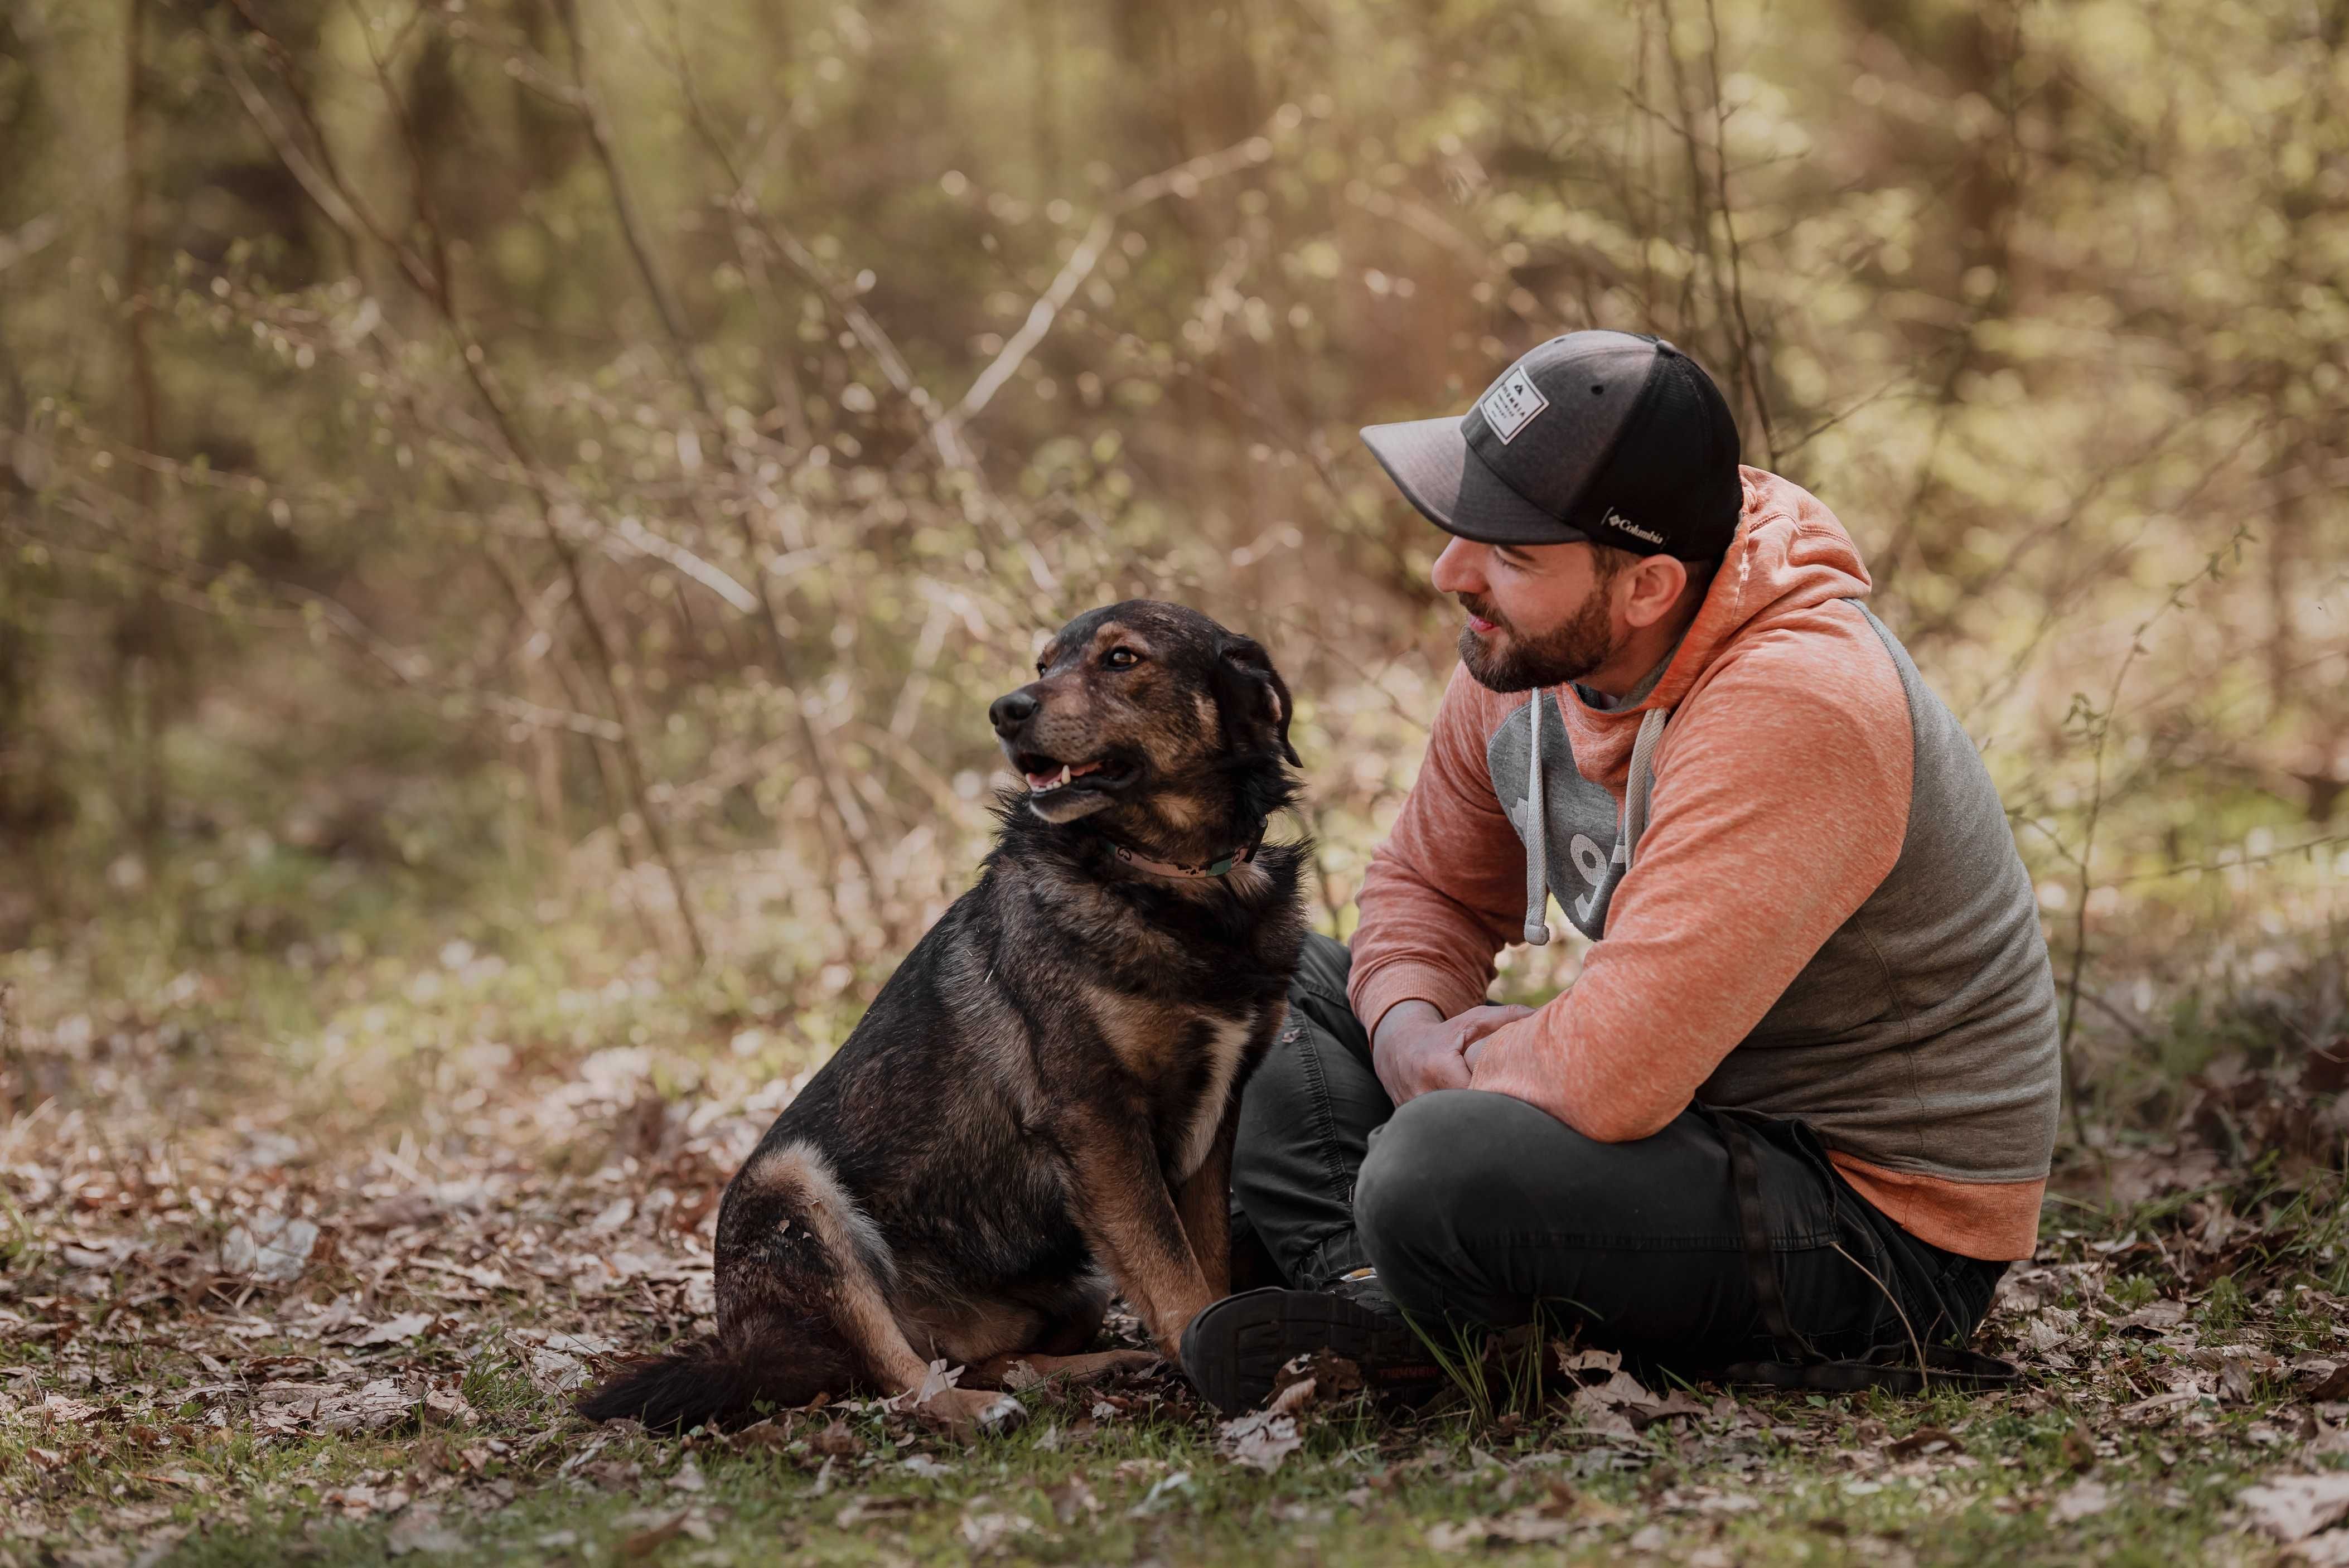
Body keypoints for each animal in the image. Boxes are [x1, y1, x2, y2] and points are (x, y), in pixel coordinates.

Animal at [568, 601, 1306, 1436]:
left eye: (1121, 658)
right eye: (1043, 664)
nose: (1005, 710)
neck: (1174, 879)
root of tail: (744, 1347)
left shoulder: (1215, 1114)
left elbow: (1201, 1260)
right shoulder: (1098, 1119)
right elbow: (1173, 1270)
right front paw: (1210, 1361)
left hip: (1077, 1281)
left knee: (989, 1356)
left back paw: (1088, 1367)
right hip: (796, 1193)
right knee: (898, 1377)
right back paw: (975, 1409)